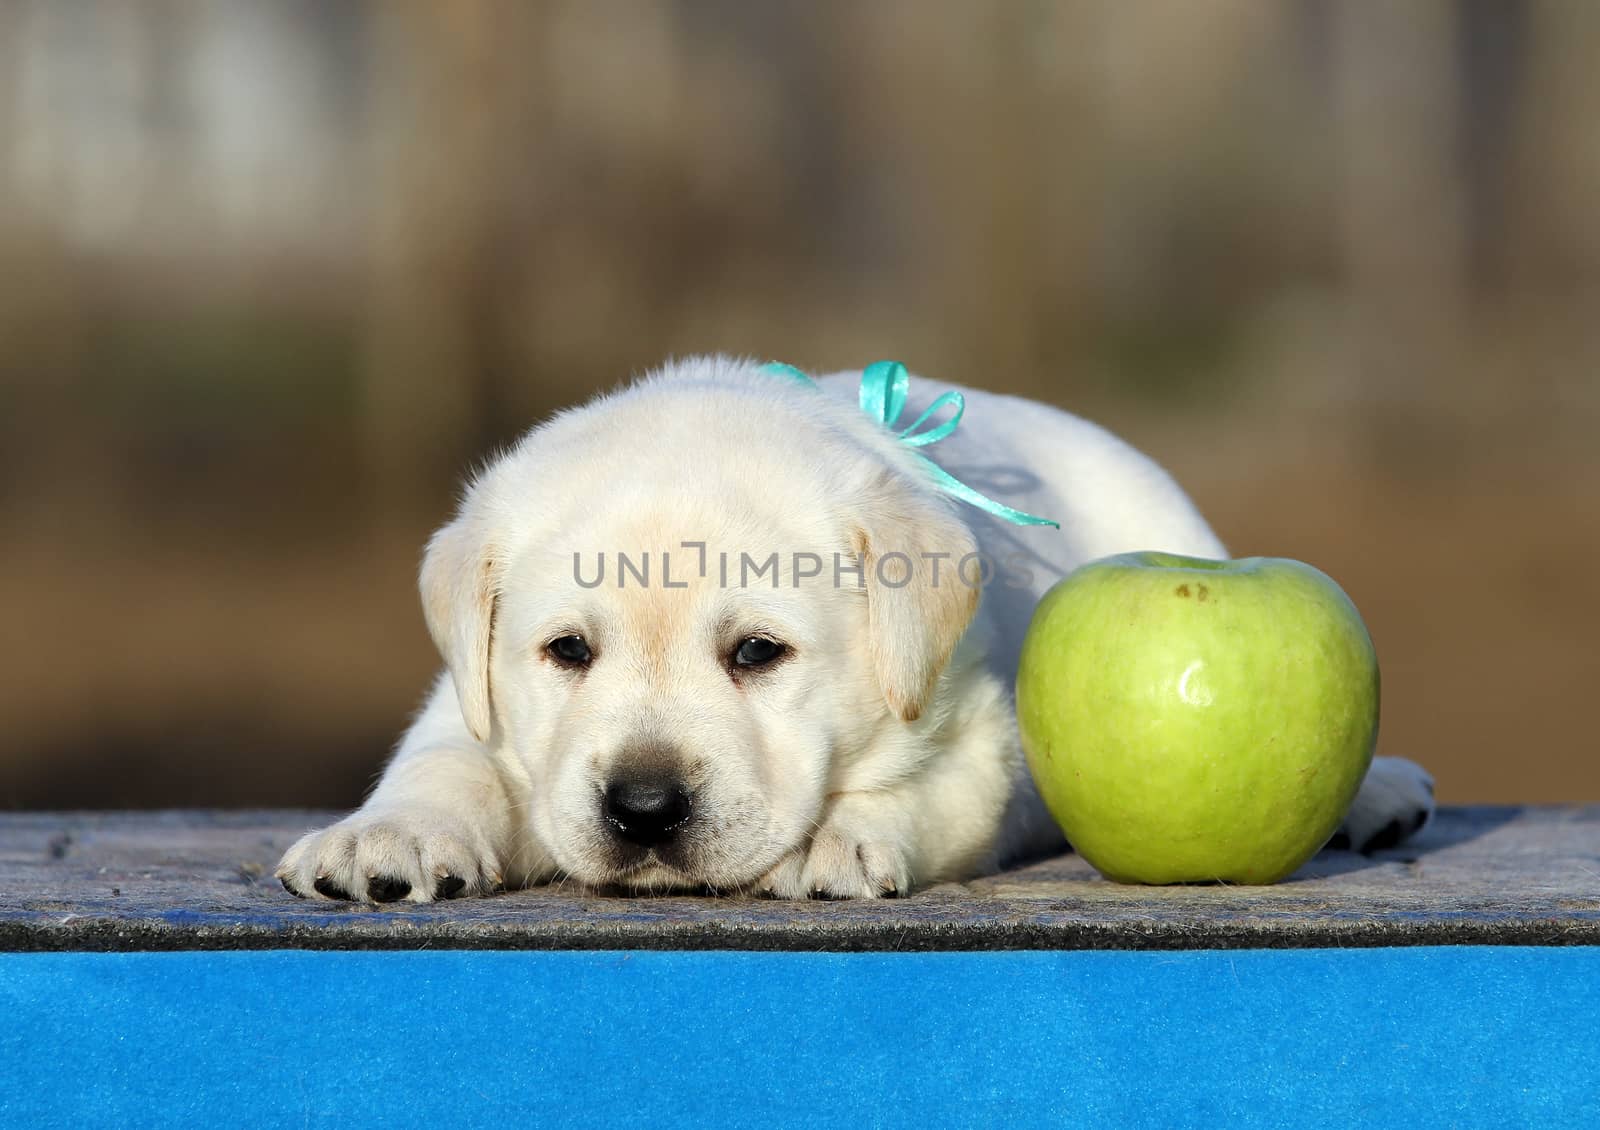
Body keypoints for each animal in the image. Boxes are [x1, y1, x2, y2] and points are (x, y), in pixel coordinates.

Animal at [278, 356, 1440, 902]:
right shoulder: (470, 701)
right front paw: (389, 833)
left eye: (757, 652)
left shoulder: (978, 736)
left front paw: (831, 835)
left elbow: (914, 788)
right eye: (566, 651)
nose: (644, 809)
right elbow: (449, 761)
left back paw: (1377, 793)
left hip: (1163, 515)